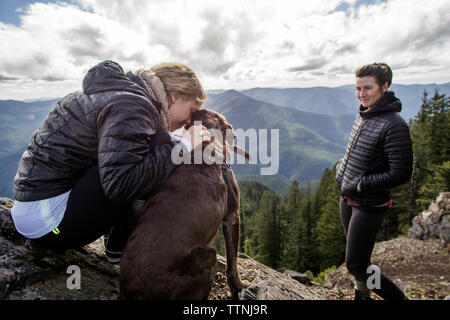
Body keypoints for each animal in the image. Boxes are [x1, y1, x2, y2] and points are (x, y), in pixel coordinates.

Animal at [120, 109, 250, 298]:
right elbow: (232, 261)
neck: (205, 144)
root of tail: (133, 292)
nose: (235, 135)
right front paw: (239, 286)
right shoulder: (232, 216)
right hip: (207, 257)